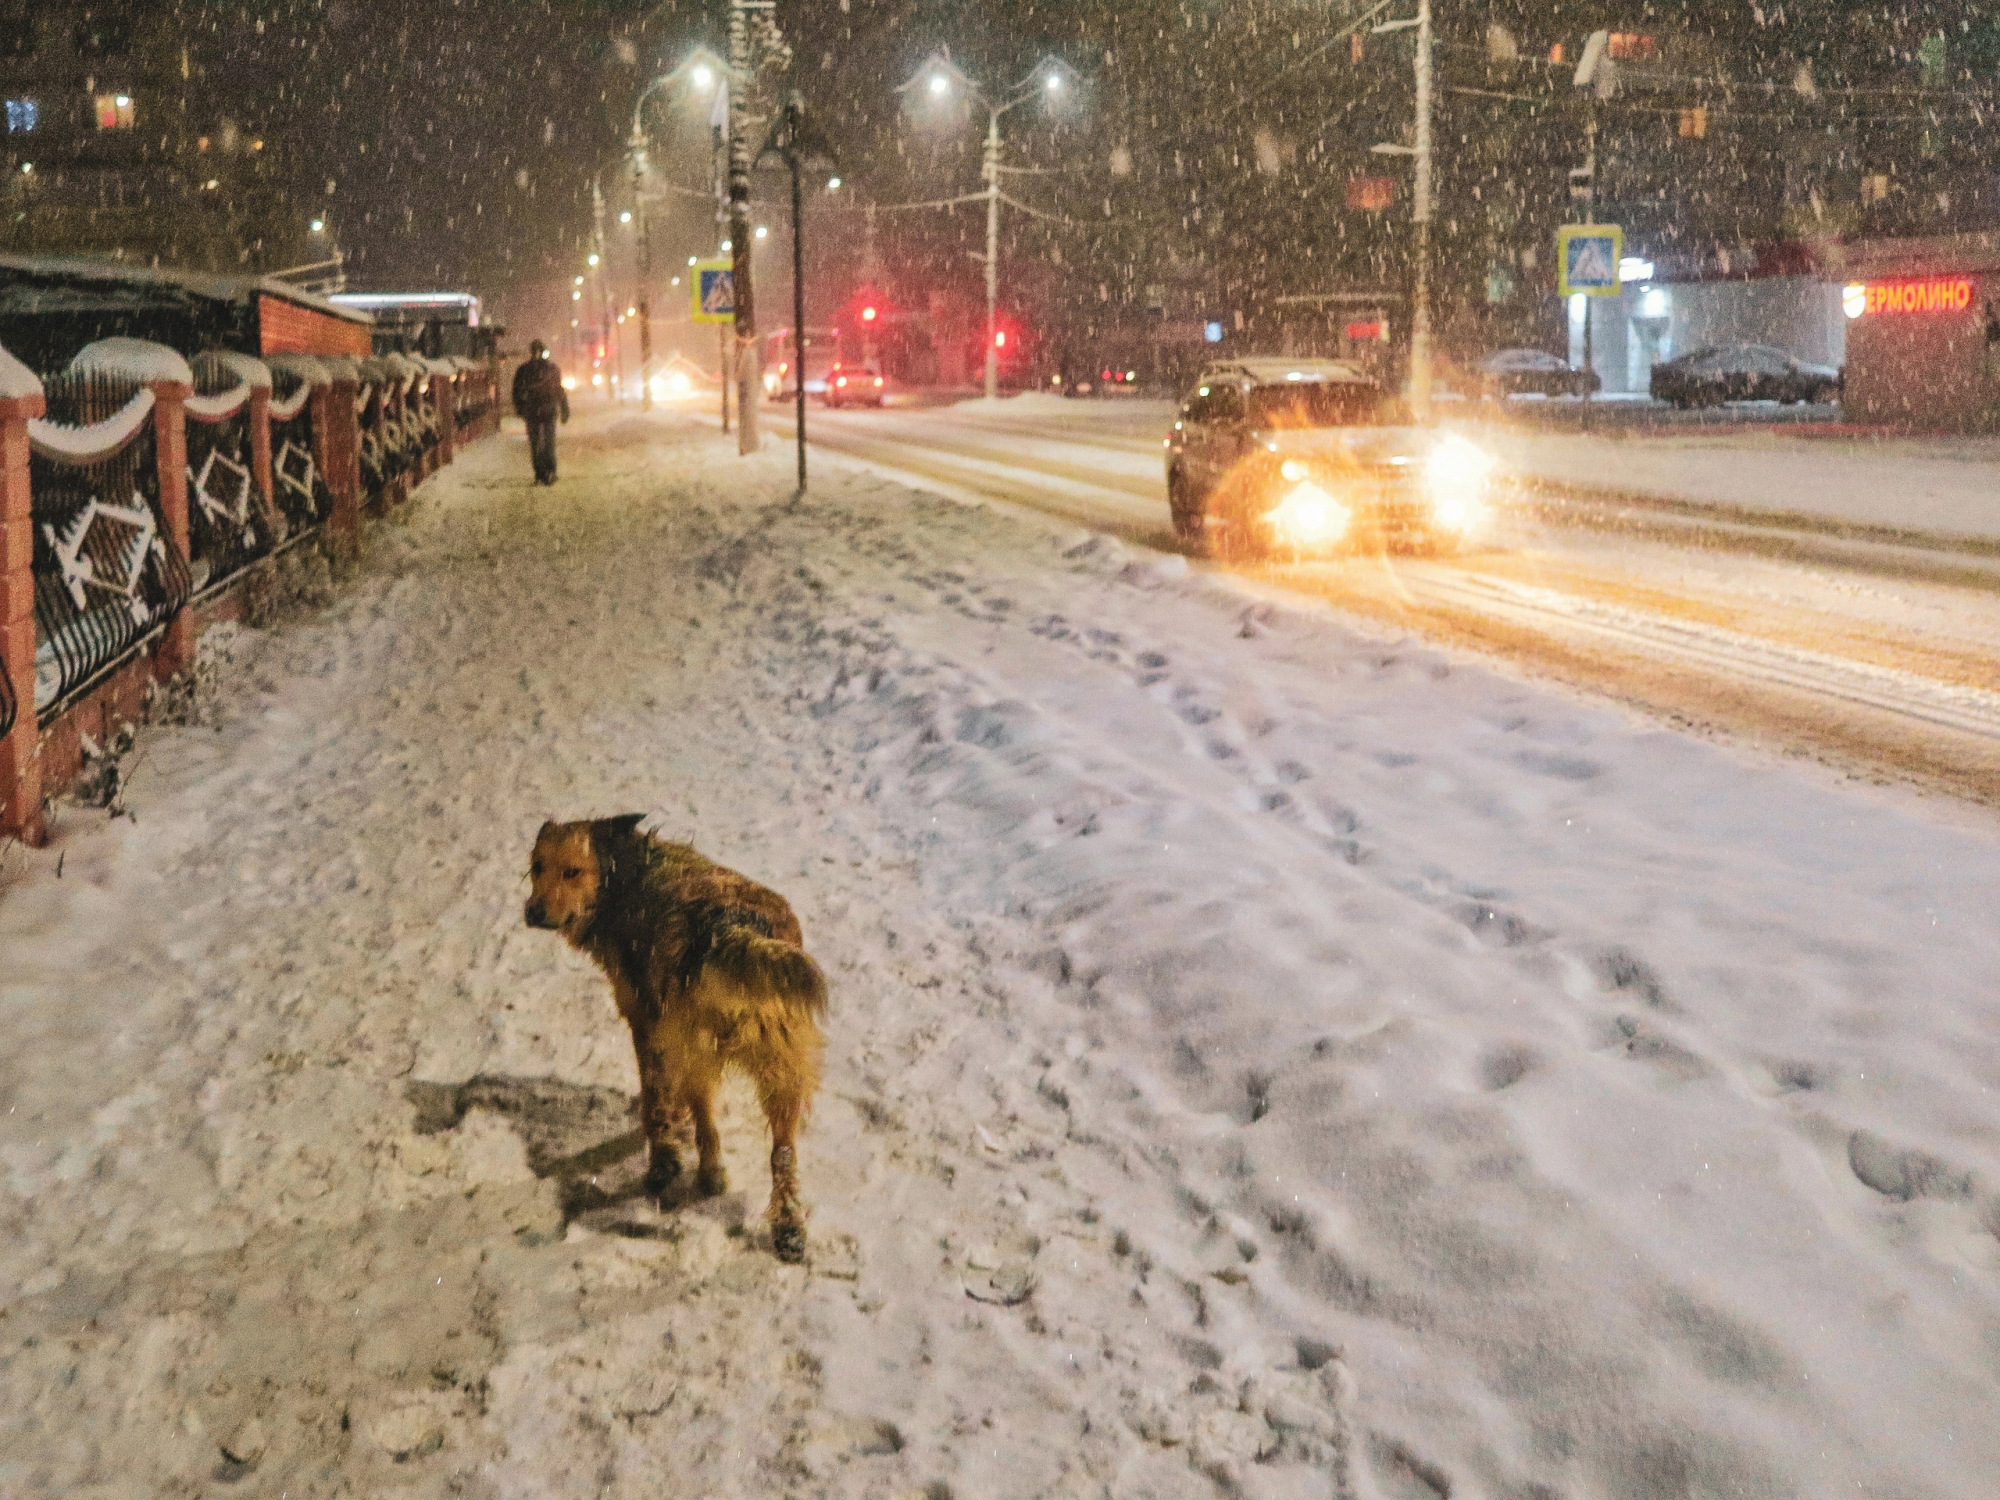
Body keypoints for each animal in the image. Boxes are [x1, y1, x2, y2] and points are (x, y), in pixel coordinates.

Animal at [524, 816, 828, 1264]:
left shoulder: (646, 1023)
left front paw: (664, 1154)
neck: (629, 872)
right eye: (537, 867)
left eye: (572, 872)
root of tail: (731, 926)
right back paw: (788, 1229)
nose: (532, 912)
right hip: (780, 1066)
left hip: (699, 1049)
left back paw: (694, 1173)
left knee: (707, 1123)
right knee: (782, 1154)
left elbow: (656, 1099)